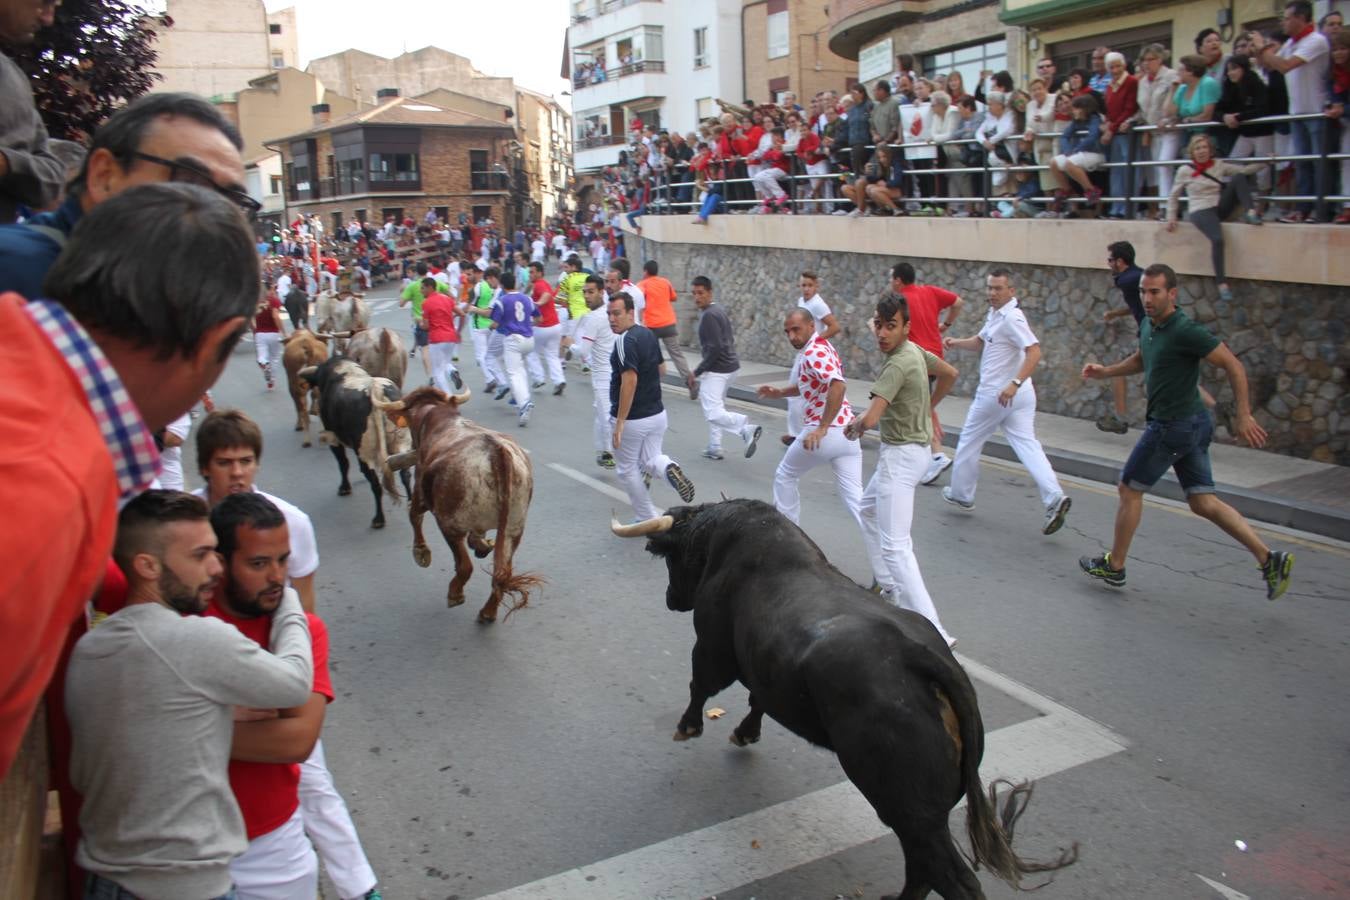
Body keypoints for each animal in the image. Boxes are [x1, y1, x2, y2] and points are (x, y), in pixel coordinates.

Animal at [618, 499, 1080, 900]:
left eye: (673, 558)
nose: (671, 600)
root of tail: (924, 657)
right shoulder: (765, 669)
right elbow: (758, 700)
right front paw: (745, 733)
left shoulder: (712, 649)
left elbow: (701, 686)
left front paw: (688, 727)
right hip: (923, 814)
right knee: (922, 870)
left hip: (910, 811)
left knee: (948, 876)